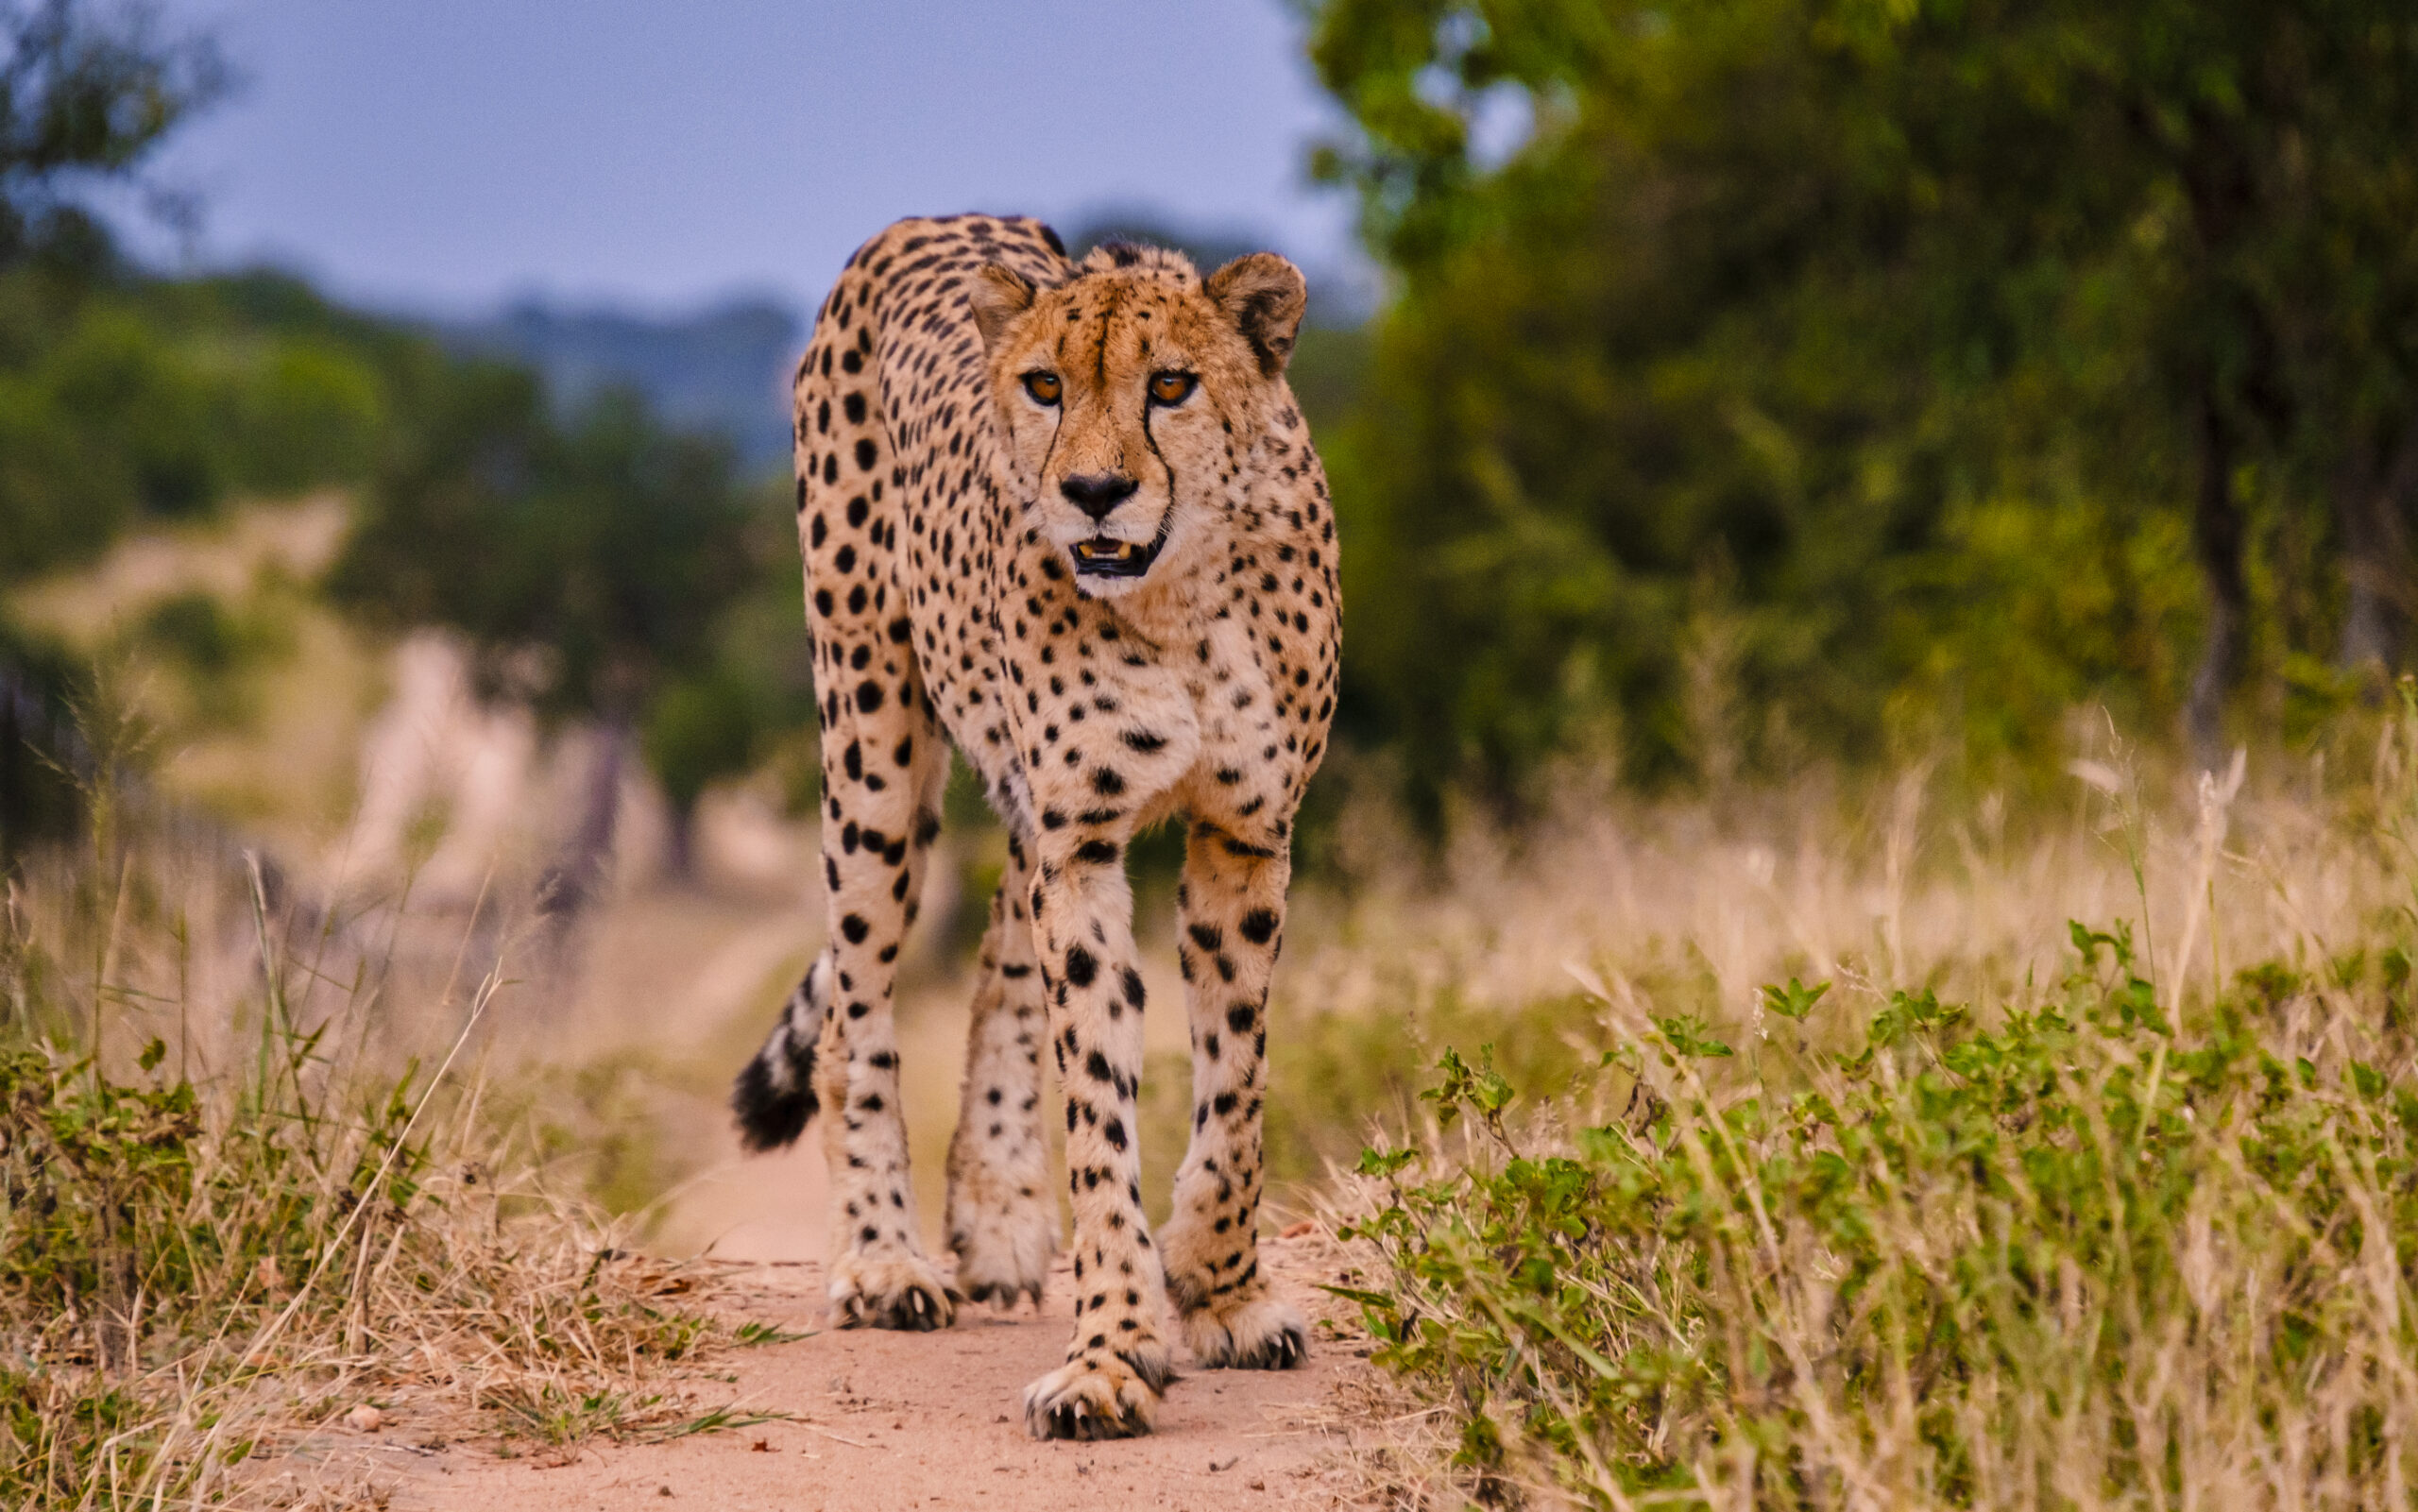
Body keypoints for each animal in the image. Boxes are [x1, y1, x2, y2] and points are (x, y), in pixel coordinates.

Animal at [729, 212, 1340, 1442]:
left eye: (1171, 384)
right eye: (1046, 385)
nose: (1094, 492)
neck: (1180, 593)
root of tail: (920, 223)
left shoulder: (1243, 835)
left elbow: (1238, 1085)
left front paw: (1219, 1284)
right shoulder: (1084, 840)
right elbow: (1099, 1108)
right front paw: (1110, 1352)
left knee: (1000, 946)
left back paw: (998, 1210)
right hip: (871, 739)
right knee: (858, 1003)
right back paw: (882, 1256)